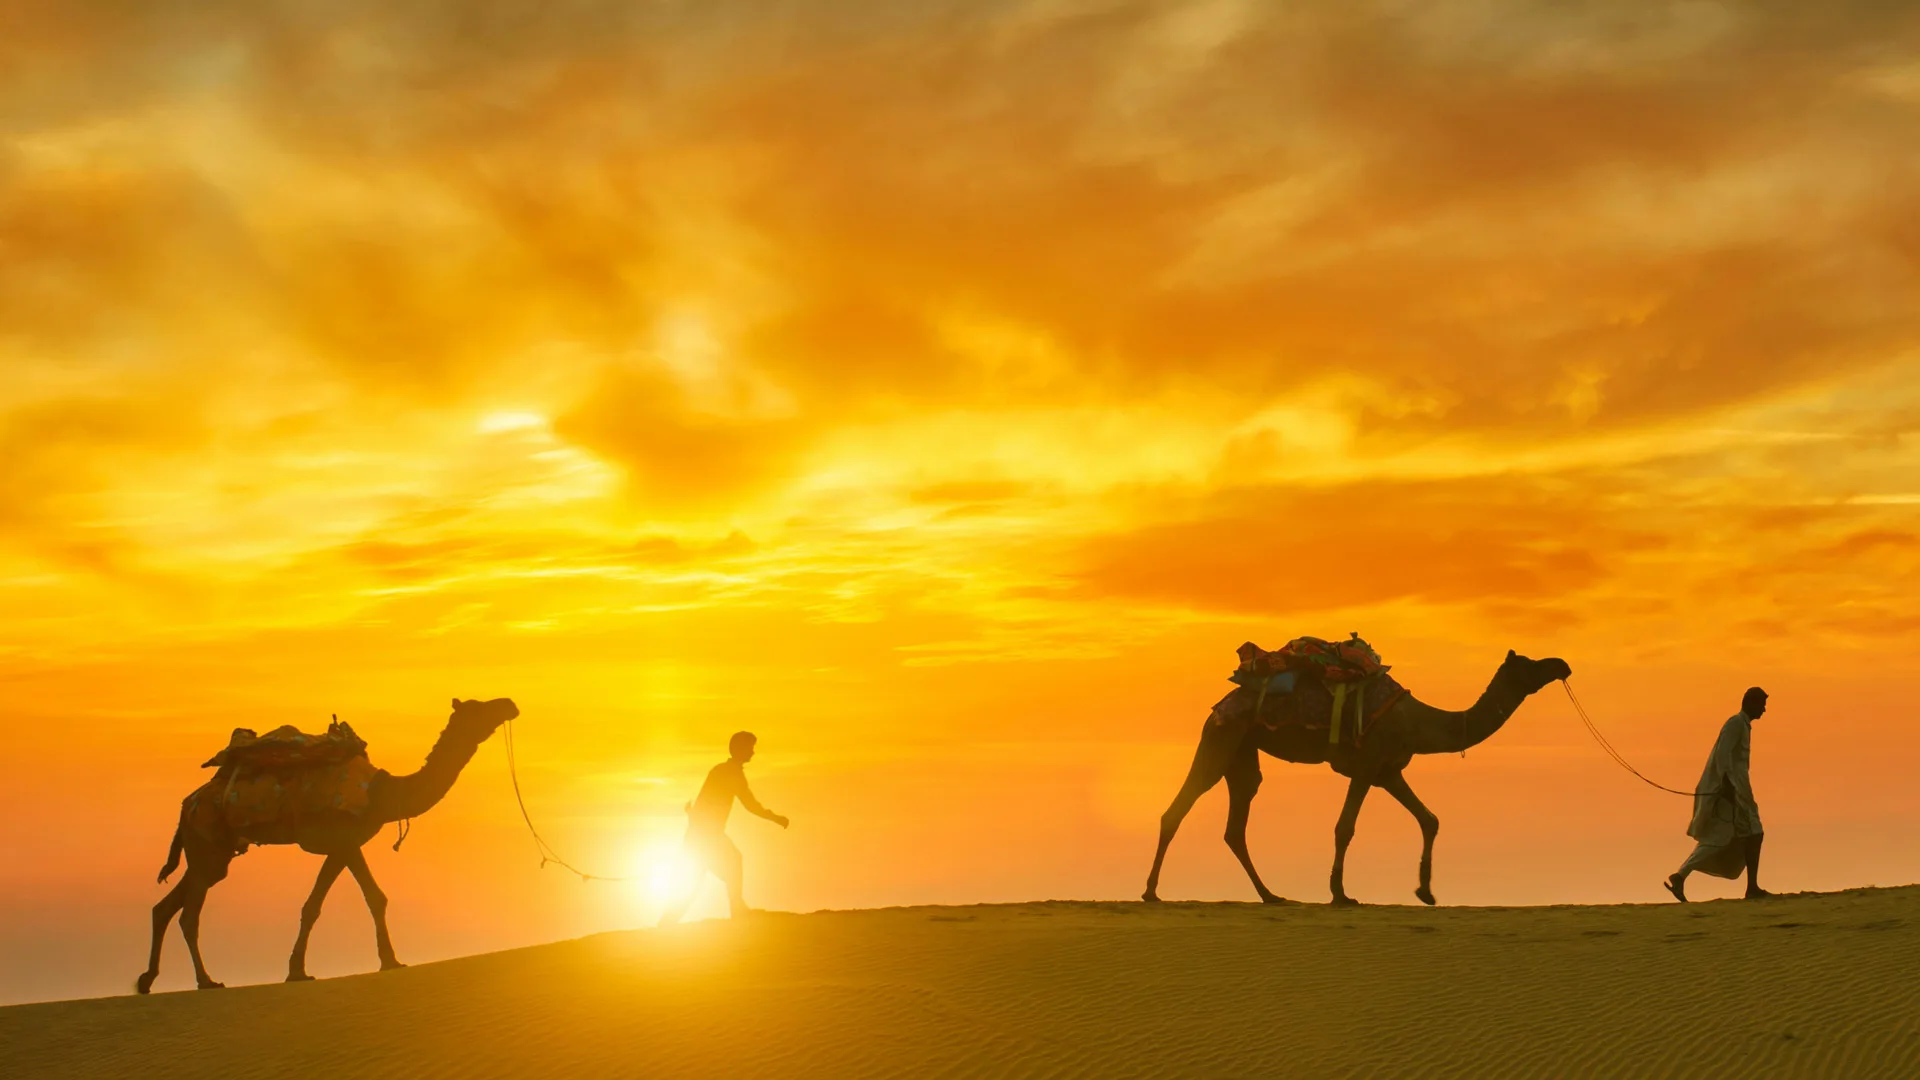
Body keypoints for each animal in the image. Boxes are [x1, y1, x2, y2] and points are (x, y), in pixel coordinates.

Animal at [137, 691, 518, 991]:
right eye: (478, 707)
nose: (510, 704)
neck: (382, 793)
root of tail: (187, 805)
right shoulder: (342, 840)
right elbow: (335, 903)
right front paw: (304, 971)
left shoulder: (347, 844)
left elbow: (360, 899)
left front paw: (385, 961)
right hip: (207, 843)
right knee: (189, 915)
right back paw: (206, 981)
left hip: (211, 854)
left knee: (166, 906)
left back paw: (147, 980)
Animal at [1144, 645, 1566, 907]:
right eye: (1530, 664)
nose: (1562, 664)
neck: (1418, 722)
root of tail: (1220, 705)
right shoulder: (1367, 763)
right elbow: (1344, 827)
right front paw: (1340, 894)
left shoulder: (1389, 770)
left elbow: (1429, 819)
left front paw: (1426, 892)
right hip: (1220, 739)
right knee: (1178, 808)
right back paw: (1151, 892)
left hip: (1243, 753)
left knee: (1236, 823)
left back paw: (1271, 895)